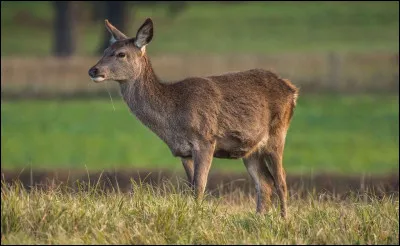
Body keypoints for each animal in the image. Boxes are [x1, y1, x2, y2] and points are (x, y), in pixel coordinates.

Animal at [88, 18, 300, 217]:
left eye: (121, 54)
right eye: (105, 50)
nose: (93, 70)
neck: (173, 115)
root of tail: (292, 90)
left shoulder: (205, 140)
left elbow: (200, 187)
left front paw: (196, 219)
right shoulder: (184, 152)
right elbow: (191, 188)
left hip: (277, 134)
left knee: (281, 181)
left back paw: (283, 220)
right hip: (250, 149)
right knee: (265, 183)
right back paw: (259, 218)